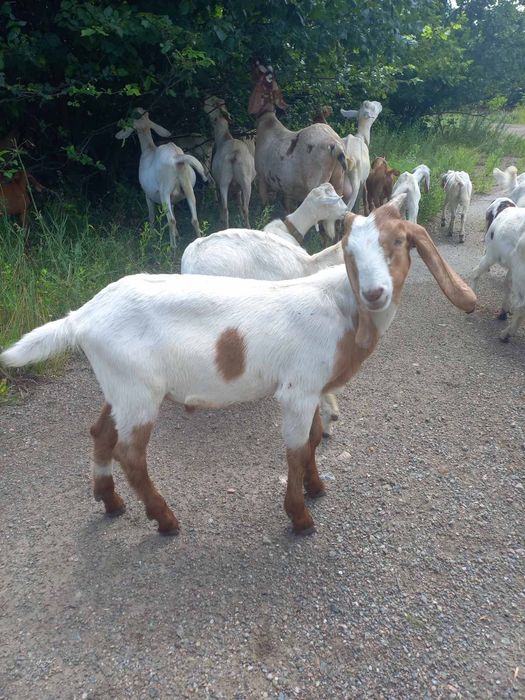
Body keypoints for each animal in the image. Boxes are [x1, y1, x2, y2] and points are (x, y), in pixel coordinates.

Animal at [1, 196, 476, 537]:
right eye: (351, 253)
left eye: (398, 242)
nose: (374, 293)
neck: (341, 307)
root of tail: (82, 317)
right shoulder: (297, 391)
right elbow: (296, 449)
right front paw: (300, 518)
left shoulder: (313, 388)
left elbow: (314, 440)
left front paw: (317, 488)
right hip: (138, 394)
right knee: (129, 453)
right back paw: (166, 521)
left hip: (120, 384)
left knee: (101, 432)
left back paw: (111, 502)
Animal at [116, 108, 207, 252]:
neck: (148, 148)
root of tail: (177, 158)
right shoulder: (173, 199)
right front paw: (177, 236)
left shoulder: (147, 194)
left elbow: (151, 216)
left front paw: (152, 236)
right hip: (188, 188)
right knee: (194, 219)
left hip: (165, 191)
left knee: (171, 220)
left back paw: (172, 247)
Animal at [204, 96, 256, 229]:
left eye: (212, 101)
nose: (204, 99)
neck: (224, 137)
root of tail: (234, 154)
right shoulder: (236, 186)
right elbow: (239, 202)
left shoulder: (218, 182)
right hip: (244, 181)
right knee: (244, 208)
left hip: (224, 181)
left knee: (226, 208)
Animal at [248, 61, 351, 237]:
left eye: (260, 73)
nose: (253, 61)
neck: (267, 123)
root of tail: (334, 144)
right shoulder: (287, 190)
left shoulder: (262, 178)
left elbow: (265, 203)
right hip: (337, 181)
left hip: (318, 183)